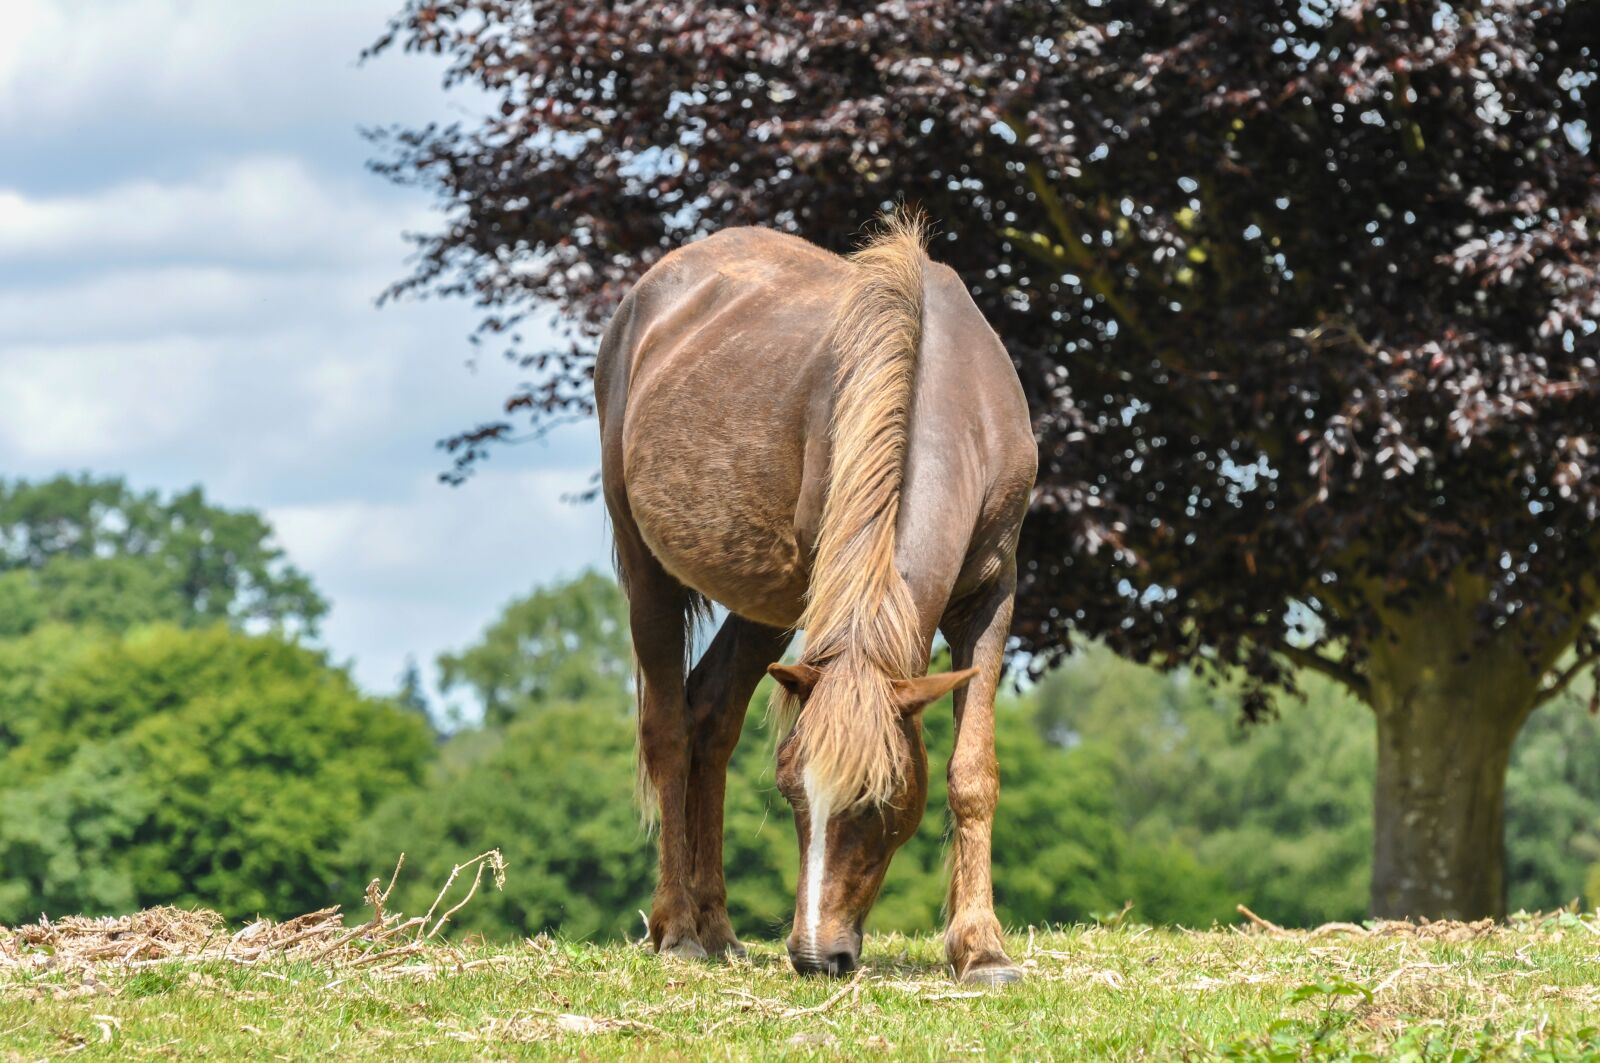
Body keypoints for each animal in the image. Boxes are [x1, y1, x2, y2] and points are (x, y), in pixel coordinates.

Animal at [595, 211, 1036, 984]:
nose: (813, 955)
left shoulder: (993, 596)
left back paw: (718, 928)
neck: (952, 397)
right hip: (650, 571)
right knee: (669, 729)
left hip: (765, 607)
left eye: (879, 799)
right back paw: (678, 928)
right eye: (791, 793)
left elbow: (972, 770)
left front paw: (982, 948)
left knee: (711, 716)